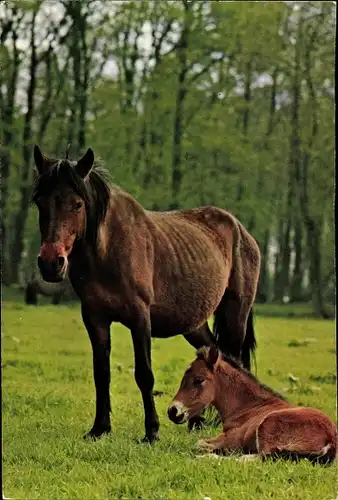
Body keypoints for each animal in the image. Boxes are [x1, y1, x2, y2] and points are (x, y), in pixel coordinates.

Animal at [31, 146, 260, 444]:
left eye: (77, 204)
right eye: (39, 202)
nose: (50, 263)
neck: (108, 250)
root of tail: (242, 232)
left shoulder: (140, 318)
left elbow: (144, 374)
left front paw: (151, 431)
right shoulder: (95, 318)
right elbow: (101, 373)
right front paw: (100, 428)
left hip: (236, 315)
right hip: (194, 324)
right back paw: (197, 420)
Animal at [168, 346, 336, 462]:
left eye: (198, 379)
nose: (172, 411)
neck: (249, 408)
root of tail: (331, 438)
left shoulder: (232, 440)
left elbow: (199, 443)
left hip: (268, 427)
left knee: (256, 458)